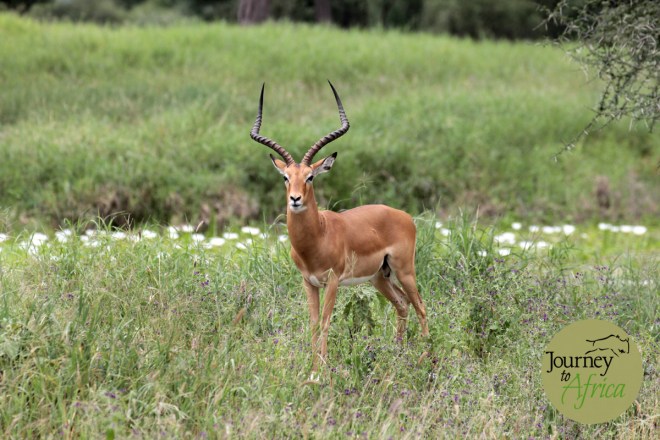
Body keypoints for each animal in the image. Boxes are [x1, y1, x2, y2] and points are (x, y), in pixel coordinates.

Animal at [250, 82, 429, 371]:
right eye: (286, 177)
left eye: (310, 177)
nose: (295, 199)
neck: (317, 237)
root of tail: (404, 216)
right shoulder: (308, 282)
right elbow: (312, 324)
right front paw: (312, 367)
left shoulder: (332, 280)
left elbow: (325, 322)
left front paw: (321, 370)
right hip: (380, 276)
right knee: (402, 304)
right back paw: (398, 352)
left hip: (404, 270)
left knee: (420, 306)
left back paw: (425, 355)